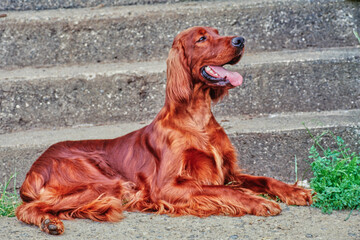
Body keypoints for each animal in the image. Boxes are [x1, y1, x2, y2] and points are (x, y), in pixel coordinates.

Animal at [15, 26, 312, 234]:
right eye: (202, 38)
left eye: (219, 32)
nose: (240, 40)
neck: (197, 119)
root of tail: (35, 166)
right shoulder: (166, 187)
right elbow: (222, 190)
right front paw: (259, 202)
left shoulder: (229, 172)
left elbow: (263, 179)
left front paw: (294, 191)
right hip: (105, 182)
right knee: (25, 207)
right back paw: (49, 223)